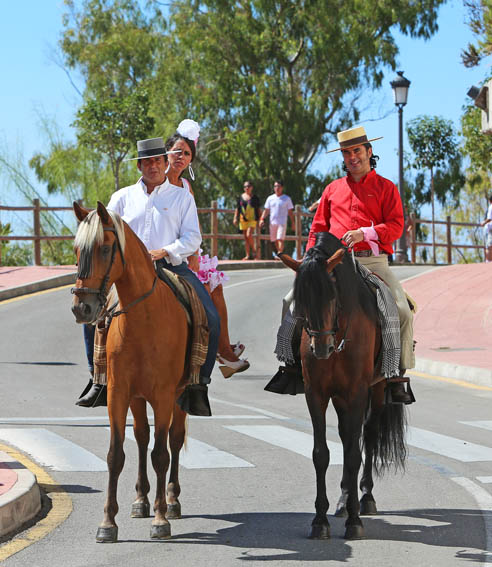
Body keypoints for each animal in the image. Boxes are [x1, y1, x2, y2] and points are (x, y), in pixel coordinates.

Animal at [71, 202, 190, 544]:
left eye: (105, 248)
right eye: (76, 249)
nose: (81, 308)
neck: (143, 318)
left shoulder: (163, 395)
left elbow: (161, 454)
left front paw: (161, 520)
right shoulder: (118, 394)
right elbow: (116, 455)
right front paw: (108, 522)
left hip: (179, 396)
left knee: (173, 440)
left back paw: (172, 500)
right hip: (137, 398)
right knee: (141, 437)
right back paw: (141, 500)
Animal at [278, 232, 406, 540]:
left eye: (331, 295)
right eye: (300, 300)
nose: (321, 348)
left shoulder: (357, 392)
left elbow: (354, 454)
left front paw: (355, 522)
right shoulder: (317, 394)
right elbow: (322, 454)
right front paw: (320, 521)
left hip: (376, 390)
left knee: (367, 436)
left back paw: (365, 499)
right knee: (348, 437)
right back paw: (343, 501)